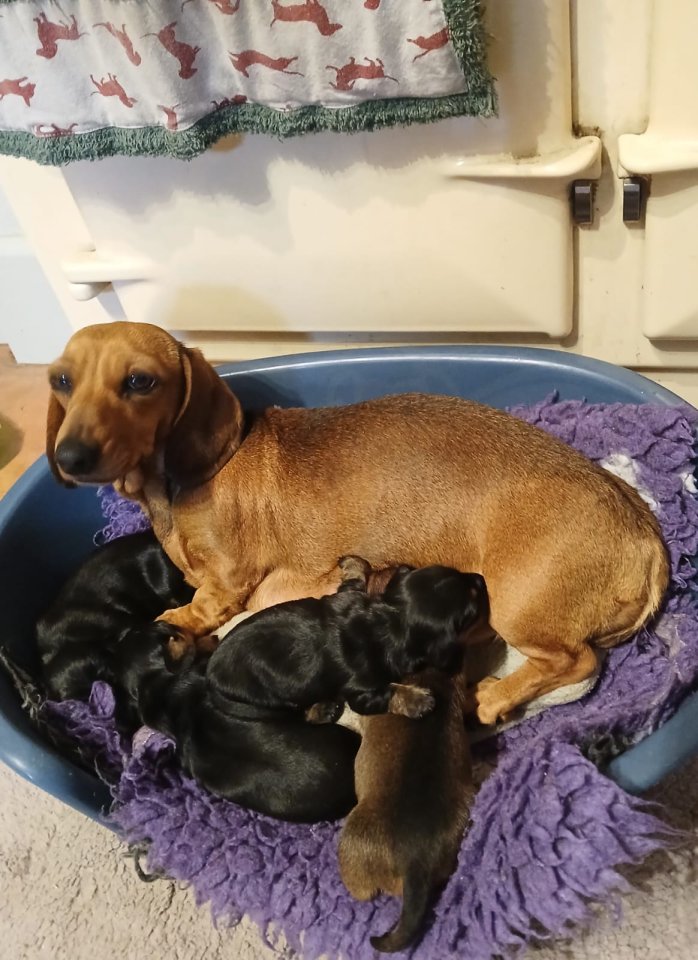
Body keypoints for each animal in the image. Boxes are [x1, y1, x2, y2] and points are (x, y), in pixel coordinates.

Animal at [205, 557, 487, 721]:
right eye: (471, 611)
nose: (481, 577)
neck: (389, 619)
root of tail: (210, 672)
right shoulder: (362, 692)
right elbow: (388, 692)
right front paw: (419, 700)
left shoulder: (349, 595)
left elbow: (355, 579)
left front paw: (353, 562)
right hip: (271, 699)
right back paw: (323, 710)